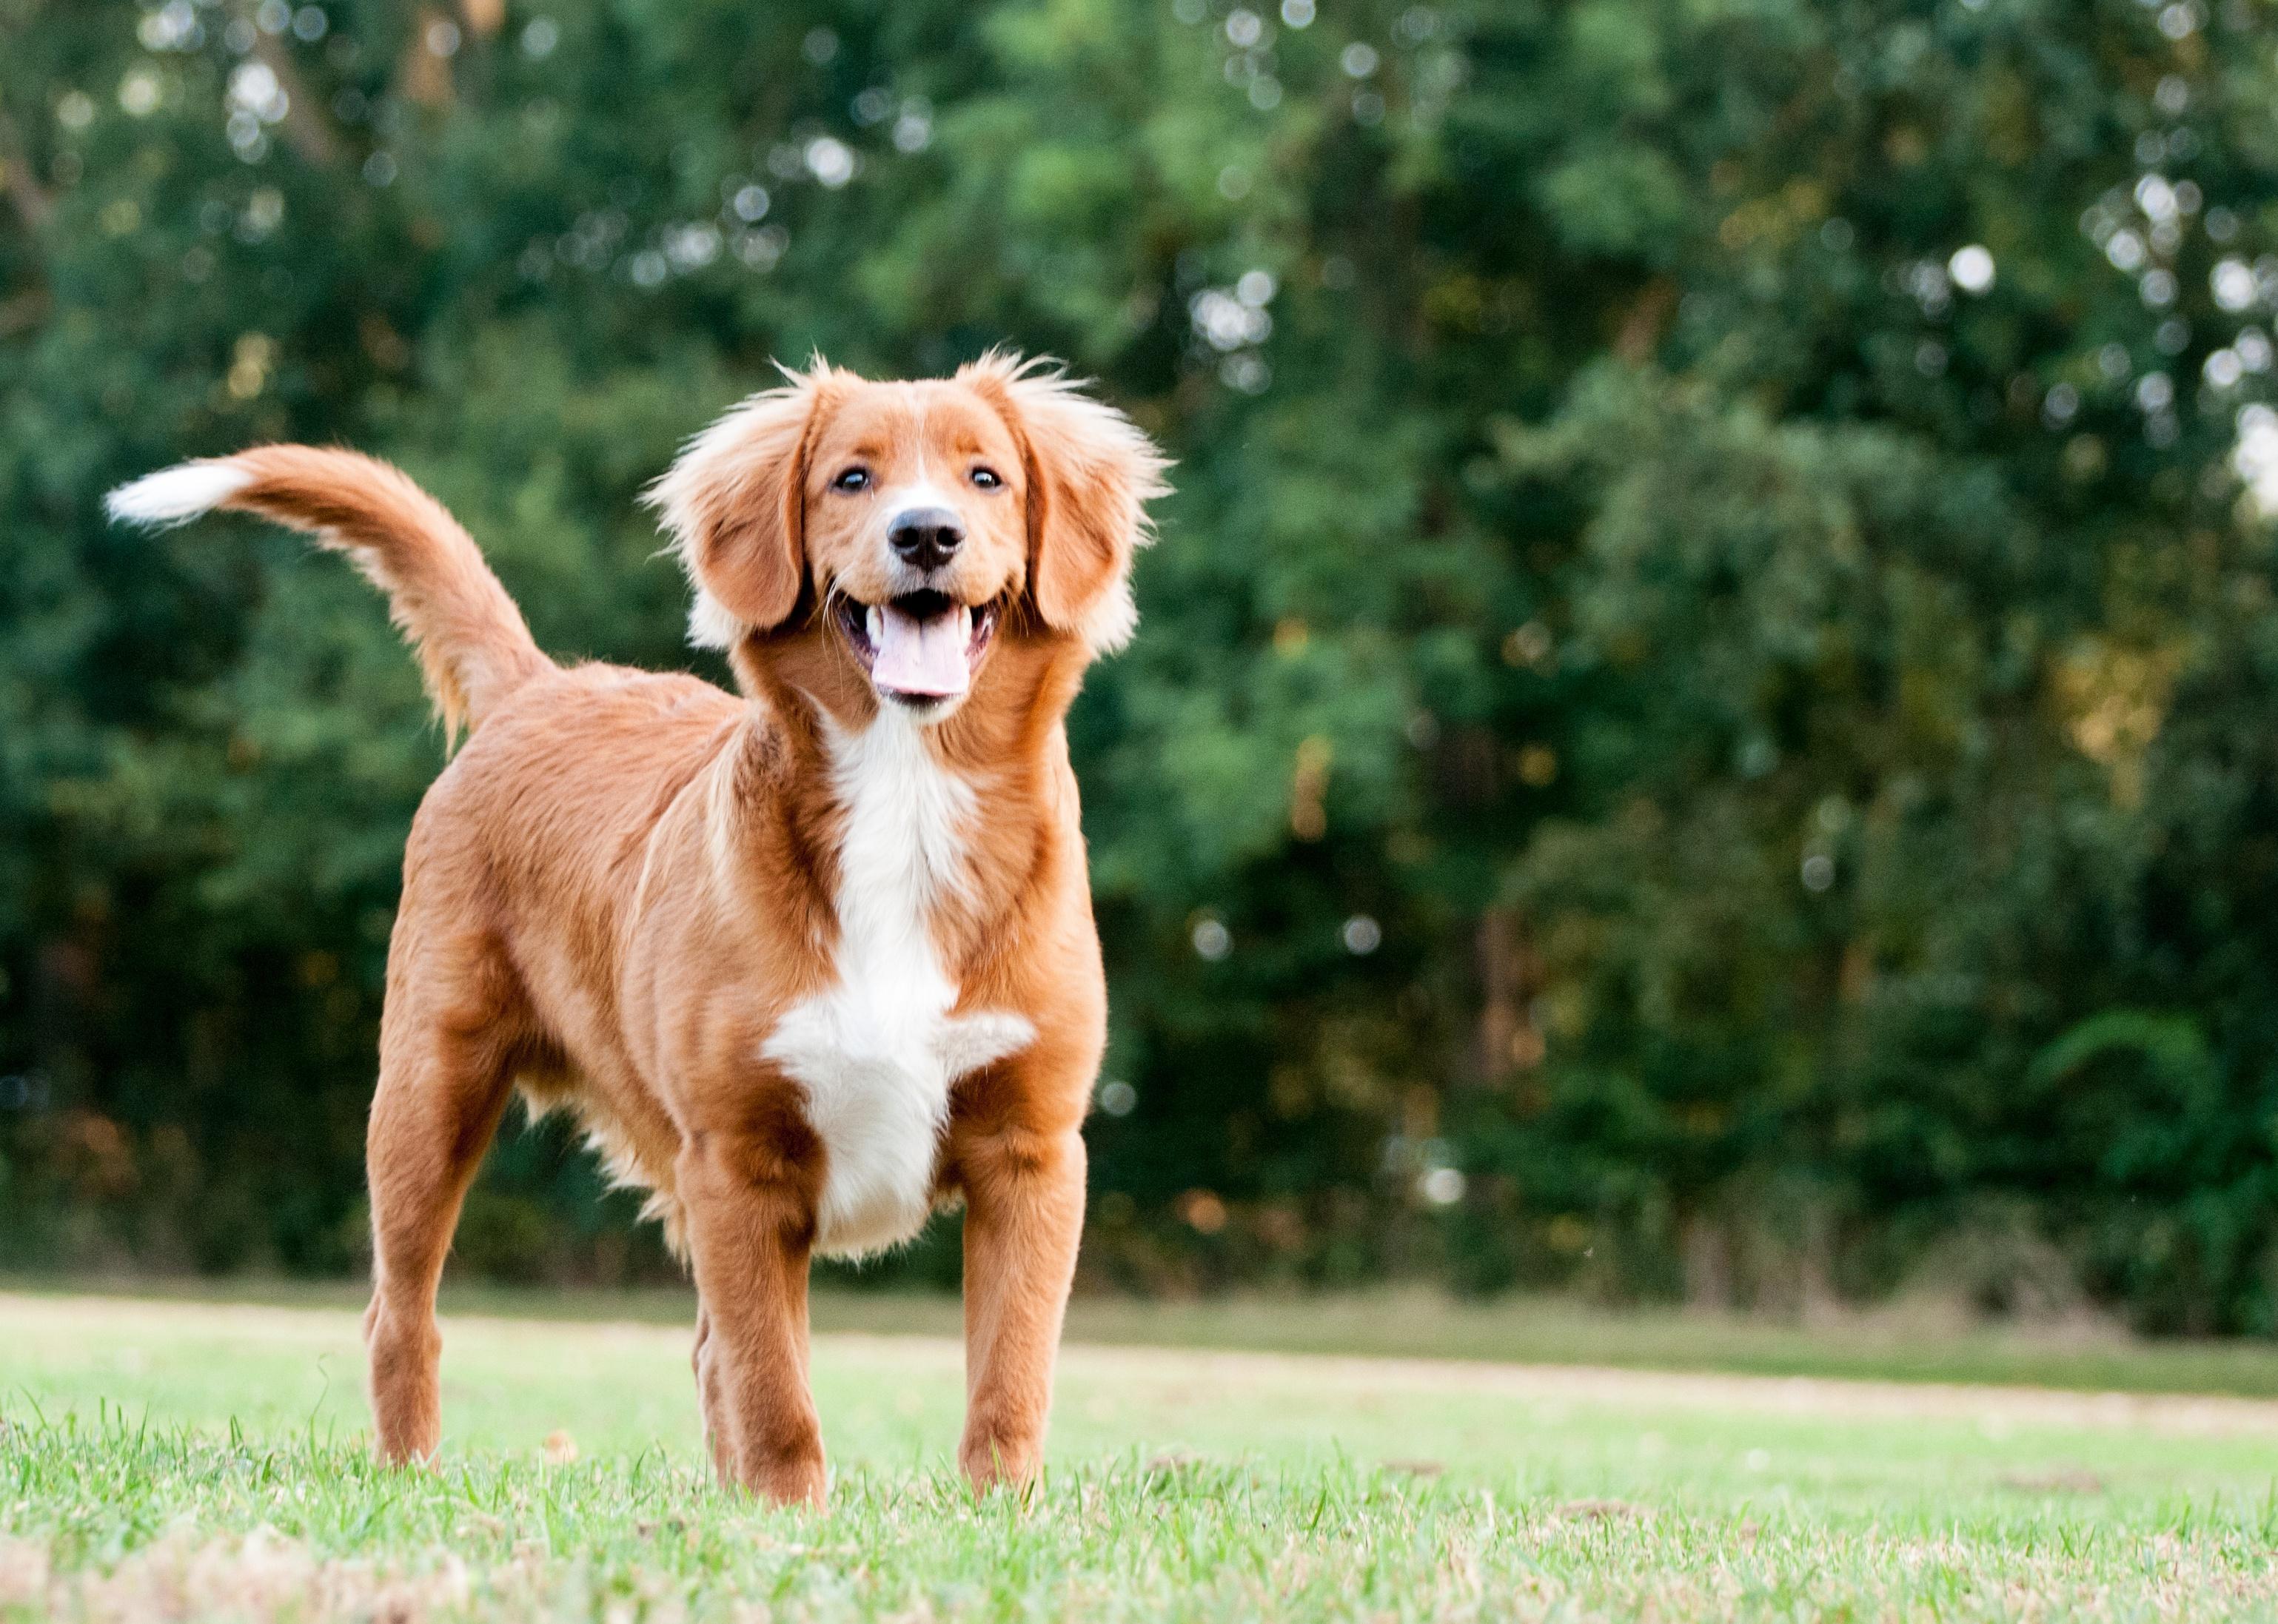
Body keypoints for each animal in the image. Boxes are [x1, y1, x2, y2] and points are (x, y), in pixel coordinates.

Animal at [102, 348, 1175, 1503]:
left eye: (986, 478)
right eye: (850, 478)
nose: (925, 534)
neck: (906, 790)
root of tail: (539, 685)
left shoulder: (1031, 1149)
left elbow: (1007, 1374)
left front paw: (998, 1512)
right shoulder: (736, 1158)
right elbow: (773, 1381)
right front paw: (787, 1509)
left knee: (703, 1349)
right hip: (428, 1086)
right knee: (404, 1314)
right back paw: (410, 1469)